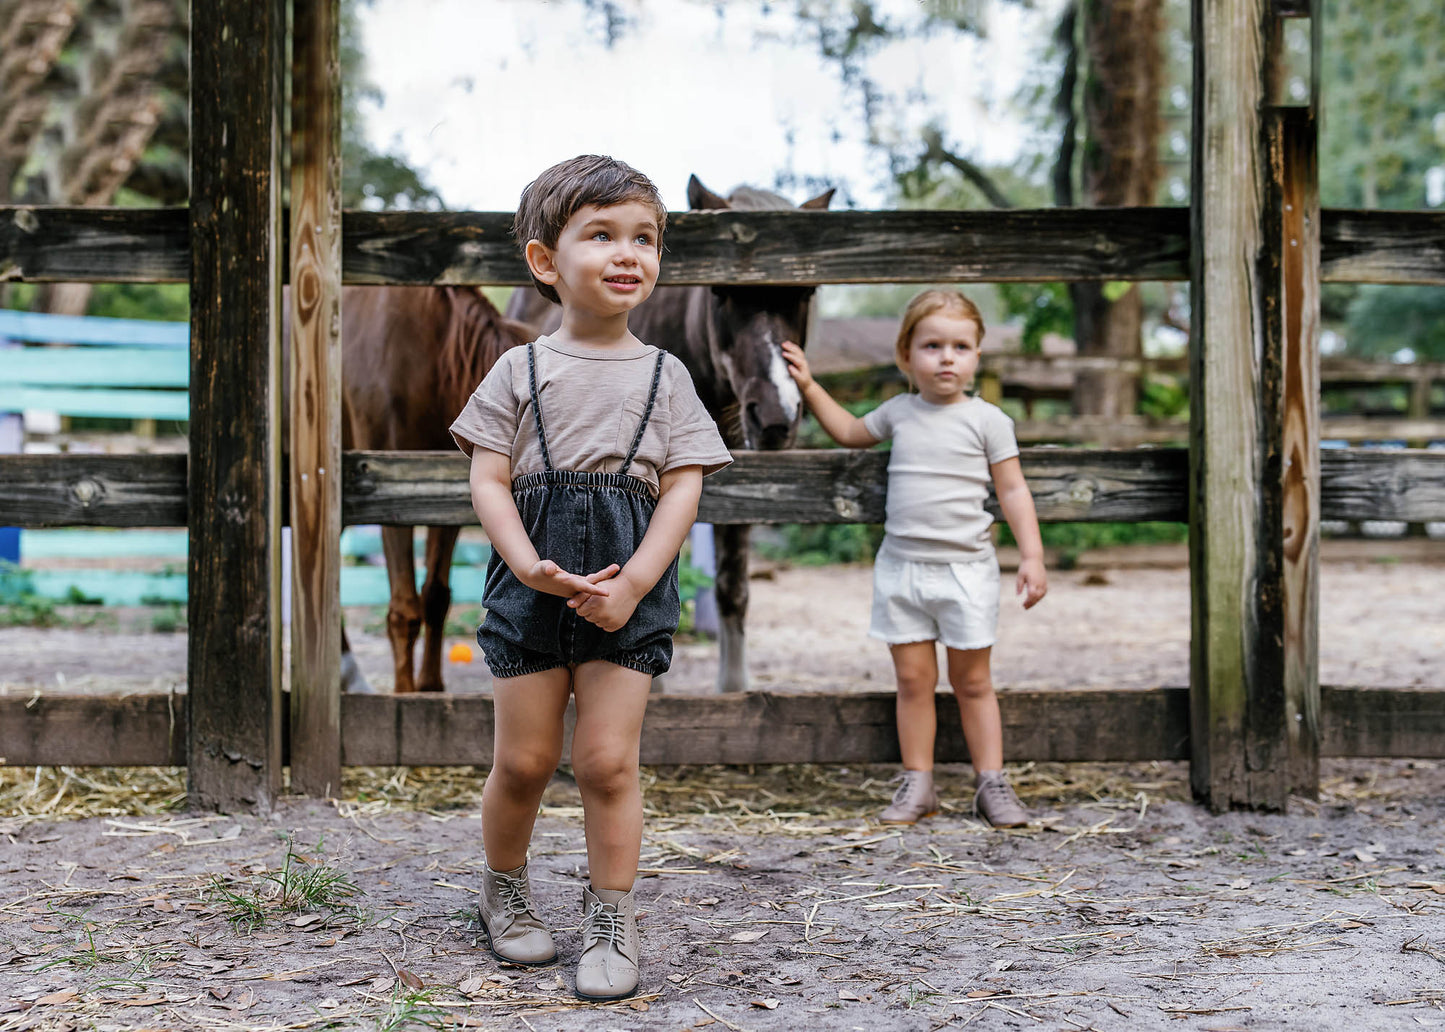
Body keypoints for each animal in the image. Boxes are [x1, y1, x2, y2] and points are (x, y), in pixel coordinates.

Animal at [330, 284, 531, 690]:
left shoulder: (446, 496)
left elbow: (436, 597)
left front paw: (431, 688)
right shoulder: (386, 493)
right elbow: (404, 610)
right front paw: (405, 694)